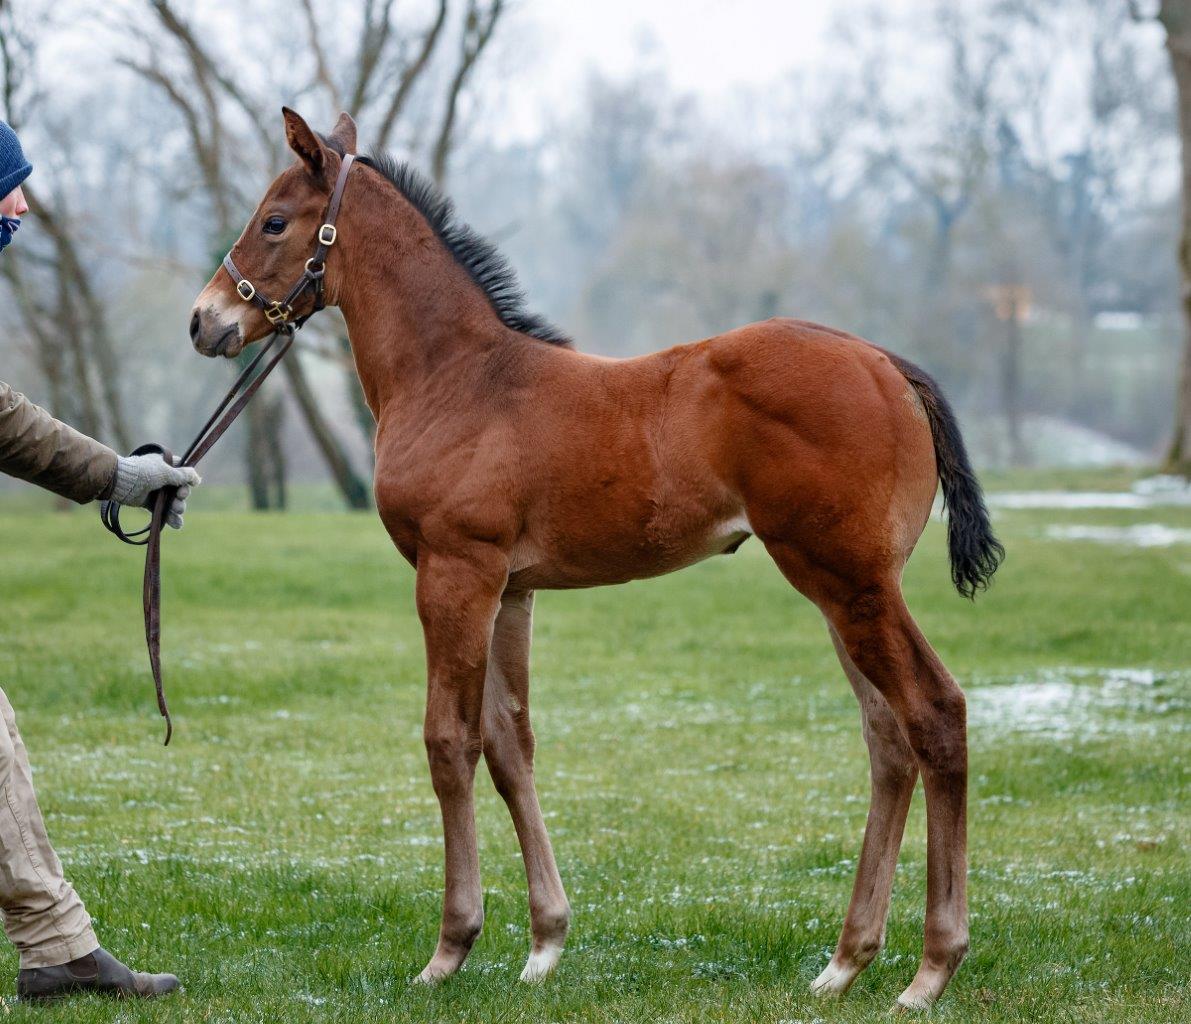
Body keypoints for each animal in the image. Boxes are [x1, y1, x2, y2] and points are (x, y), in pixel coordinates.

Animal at [188, 110, 1005, 1009]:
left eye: (273, 221)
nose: (203, 320)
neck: (458, 378)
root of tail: (887, 364)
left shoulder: (453, 573)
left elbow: (448, 742)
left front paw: (449, 948)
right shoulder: (509, 590)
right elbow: (509, 744)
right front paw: (544, 944)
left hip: (850, 583)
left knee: (935, 714)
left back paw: (930, 969)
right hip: (839, 588)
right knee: (887, 740)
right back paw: (846, 961)